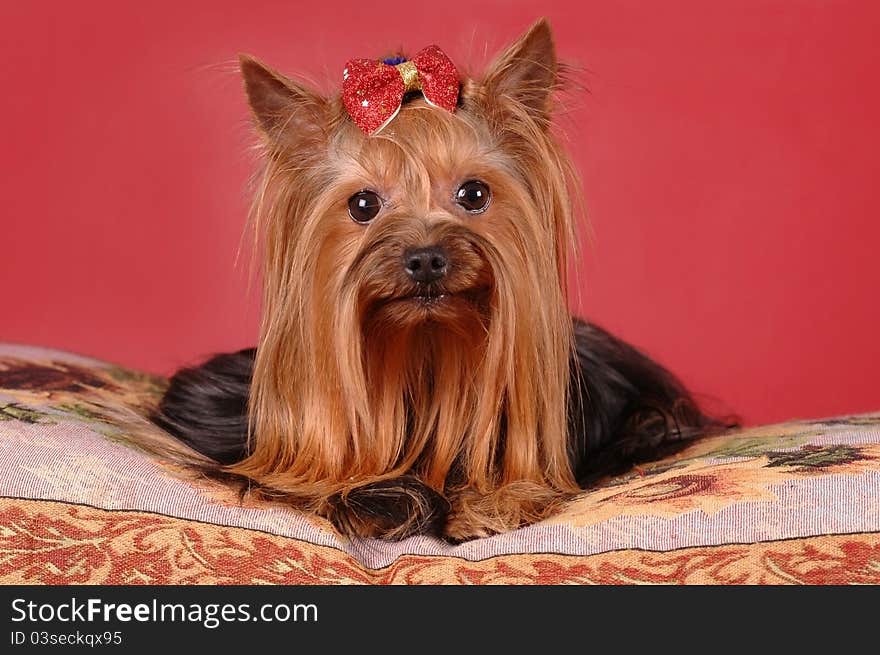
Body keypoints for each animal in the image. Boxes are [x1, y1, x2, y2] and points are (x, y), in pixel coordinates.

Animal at [151, 19, 728, 544]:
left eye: (473, 194)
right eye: (363, 204)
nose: (426, 259)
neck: (424, 353)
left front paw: (491, 504)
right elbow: (319, 484)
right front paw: (384, 501)